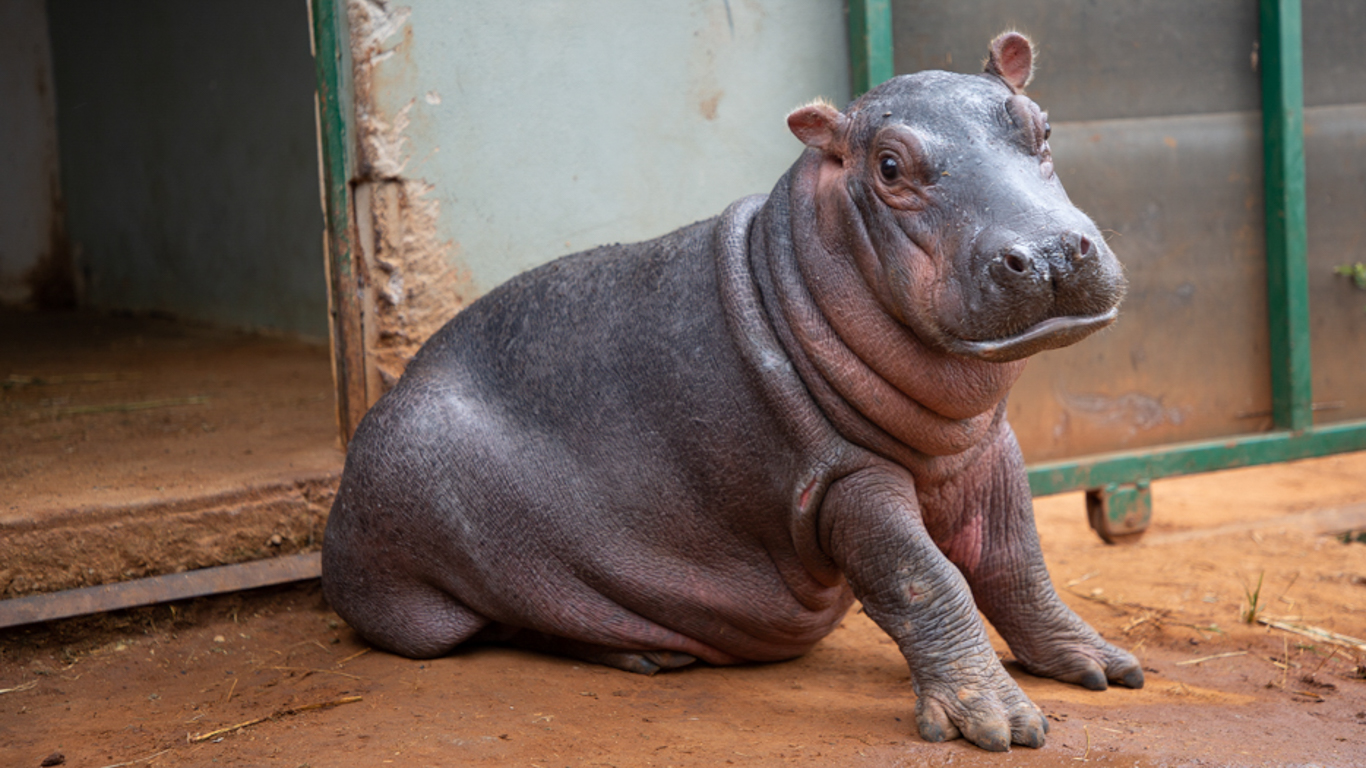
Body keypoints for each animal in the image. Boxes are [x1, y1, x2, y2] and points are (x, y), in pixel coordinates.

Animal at [325, 34, 1136, 748]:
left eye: (1042, 126)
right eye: (889, 166)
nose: (1050, 253)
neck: (803, 262)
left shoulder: (986, 448)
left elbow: (1016, 561)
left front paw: (1102, 665)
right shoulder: (844, 476)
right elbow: (924, 579)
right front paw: (1000, 723)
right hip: (427, 589)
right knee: (492, 623)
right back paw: (643, 653)